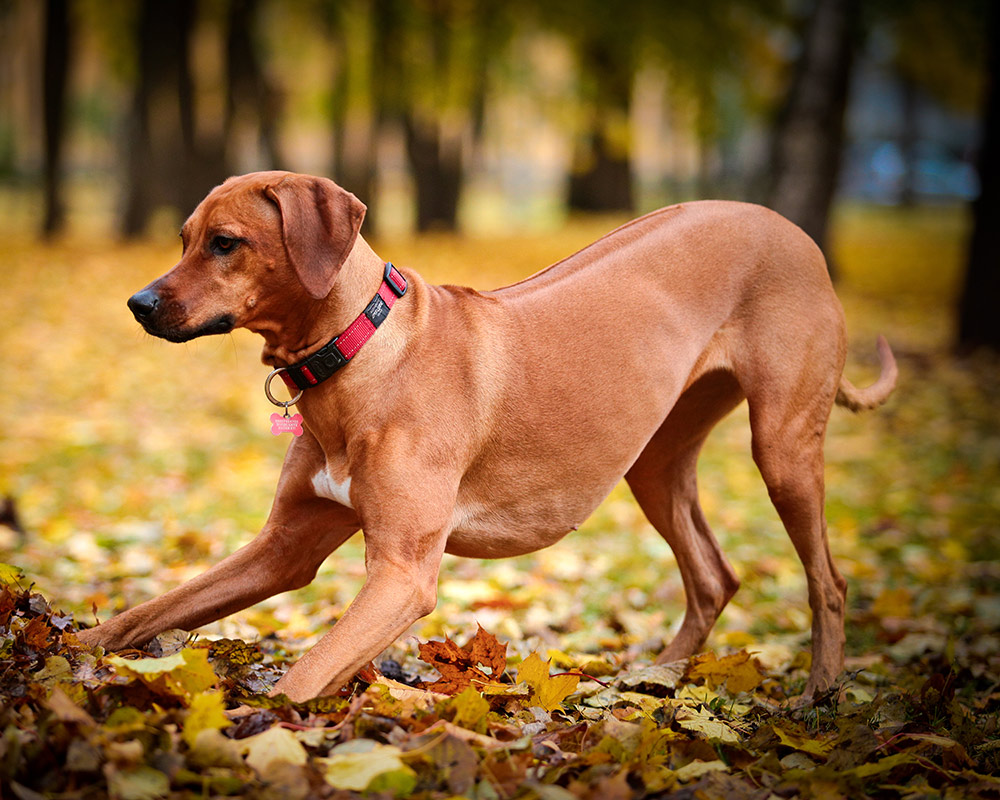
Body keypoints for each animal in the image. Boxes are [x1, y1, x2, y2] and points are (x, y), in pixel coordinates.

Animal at [78, 169, 900, 700]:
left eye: (225, 243)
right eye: (184, 237)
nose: (138, 303)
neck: (359, 351)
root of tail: (794, 231)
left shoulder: (403, 574)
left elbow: (304, 678)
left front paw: (259, 733)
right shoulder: (284, 549)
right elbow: (149, 612)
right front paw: (69, 653)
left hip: (783, 448)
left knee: (828, 581)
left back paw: (821, 695)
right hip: (654, 463)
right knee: (713, 576)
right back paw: (654, 681)